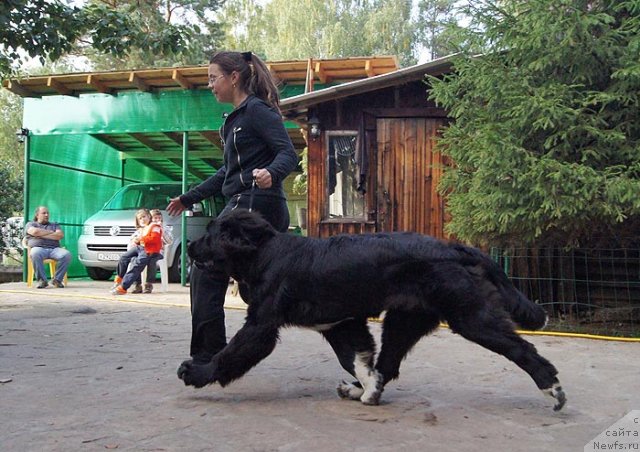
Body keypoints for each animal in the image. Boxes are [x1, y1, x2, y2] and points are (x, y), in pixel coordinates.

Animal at [178, 210, 568, 412]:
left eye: (211, 233)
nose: (192, 245)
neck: (264, 253)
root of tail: (455, 248)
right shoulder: (340, 324)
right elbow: (359, 360)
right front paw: (366, 389)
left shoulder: (261, 325)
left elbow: (229, 354)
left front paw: (195, 372)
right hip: (403, 320)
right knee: (389, 364)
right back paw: (359, 392)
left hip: (471, 317)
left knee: (522, 348)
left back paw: (552, 389)